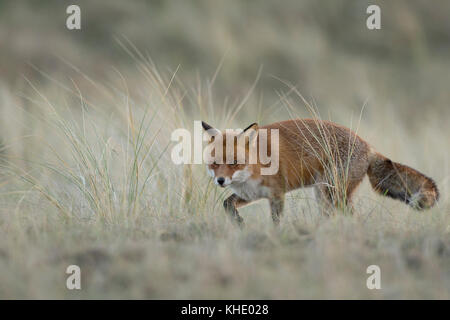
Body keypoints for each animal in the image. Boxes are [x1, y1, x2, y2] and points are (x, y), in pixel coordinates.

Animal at [203, 119, 440, 226]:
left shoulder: (277, 194)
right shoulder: (251, 195)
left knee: (353, 218)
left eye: (234, 162)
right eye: (214, 164)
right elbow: (227, 204)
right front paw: (239, 223)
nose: (221, 180)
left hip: (332, 193)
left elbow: (276, 221)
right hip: (325, 194)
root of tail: (369, 147)